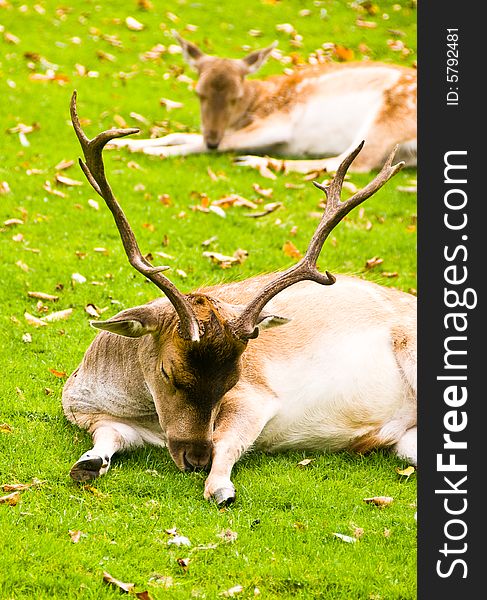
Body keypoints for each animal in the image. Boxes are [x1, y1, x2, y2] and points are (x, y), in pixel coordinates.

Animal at [63, 92, 418, 506]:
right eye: (169, 373)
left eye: (232, 380)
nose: (195, 459)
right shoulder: (92, 415)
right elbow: (107, 435)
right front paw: (88, 464)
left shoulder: (255, 395)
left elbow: (228, 441)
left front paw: (221, 488)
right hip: (406, 439)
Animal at [108, 33, 418, 175]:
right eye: (198, 93)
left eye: (235, 96)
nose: (212, 139)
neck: (252, 106)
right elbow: (180, 134)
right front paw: (123, 143)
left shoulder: (278, 122)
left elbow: (213, 143)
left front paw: (151, 151)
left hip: (386, 119)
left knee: (355, 163)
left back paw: (254, 161)